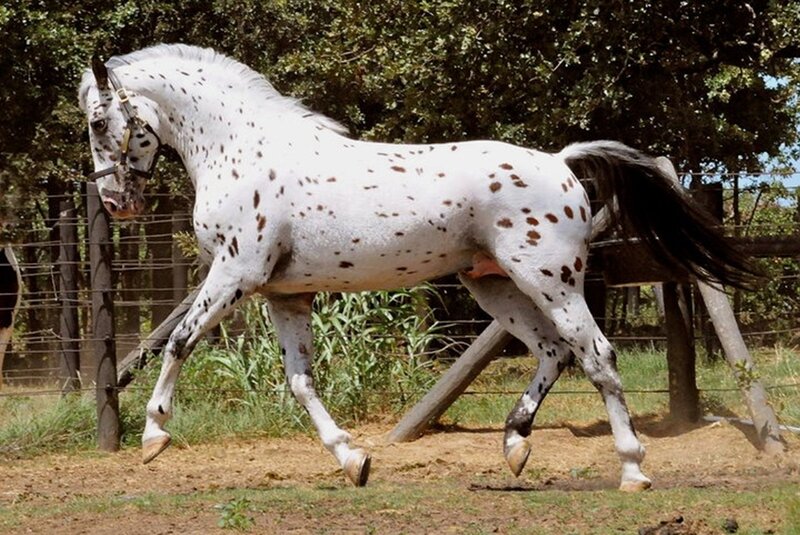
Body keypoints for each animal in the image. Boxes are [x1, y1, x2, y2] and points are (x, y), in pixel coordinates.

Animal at [78, 44, 757, 490]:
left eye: (97, 120)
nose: (115, 202)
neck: (239, 148)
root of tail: (560, 161)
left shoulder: (235, 275)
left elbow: (179, 343)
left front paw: (153, 439)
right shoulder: (283, 295)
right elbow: (301, 382)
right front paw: (353, 461)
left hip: (550, 282)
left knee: (596, 356)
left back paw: (633, 469)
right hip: (492, 287)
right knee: (553, 353)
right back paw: (514, 446)